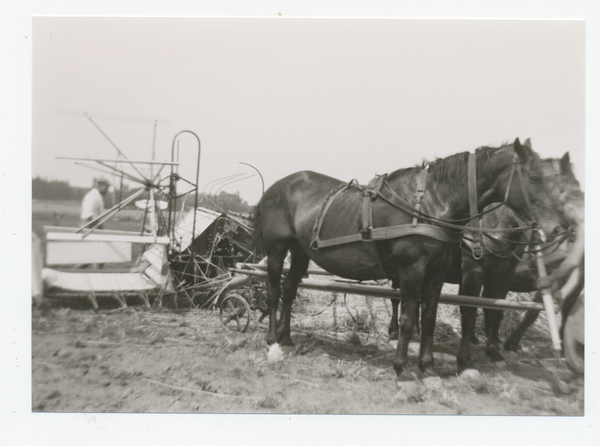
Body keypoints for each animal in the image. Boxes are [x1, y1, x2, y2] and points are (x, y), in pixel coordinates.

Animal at [253, 138, 564, 382]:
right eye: (535, 178)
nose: (557, 228)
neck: (431, 204)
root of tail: (278, 187)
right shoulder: (413, 270)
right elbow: (407, 318)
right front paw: (401, 367)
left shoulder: (437, 273)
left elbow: (428, 318)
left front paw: (428, 367)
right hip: (277, 248)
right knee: (274, 291)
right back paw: (272, 340)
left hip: (300, 251)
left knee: (290, 290)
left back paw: (287, 339)